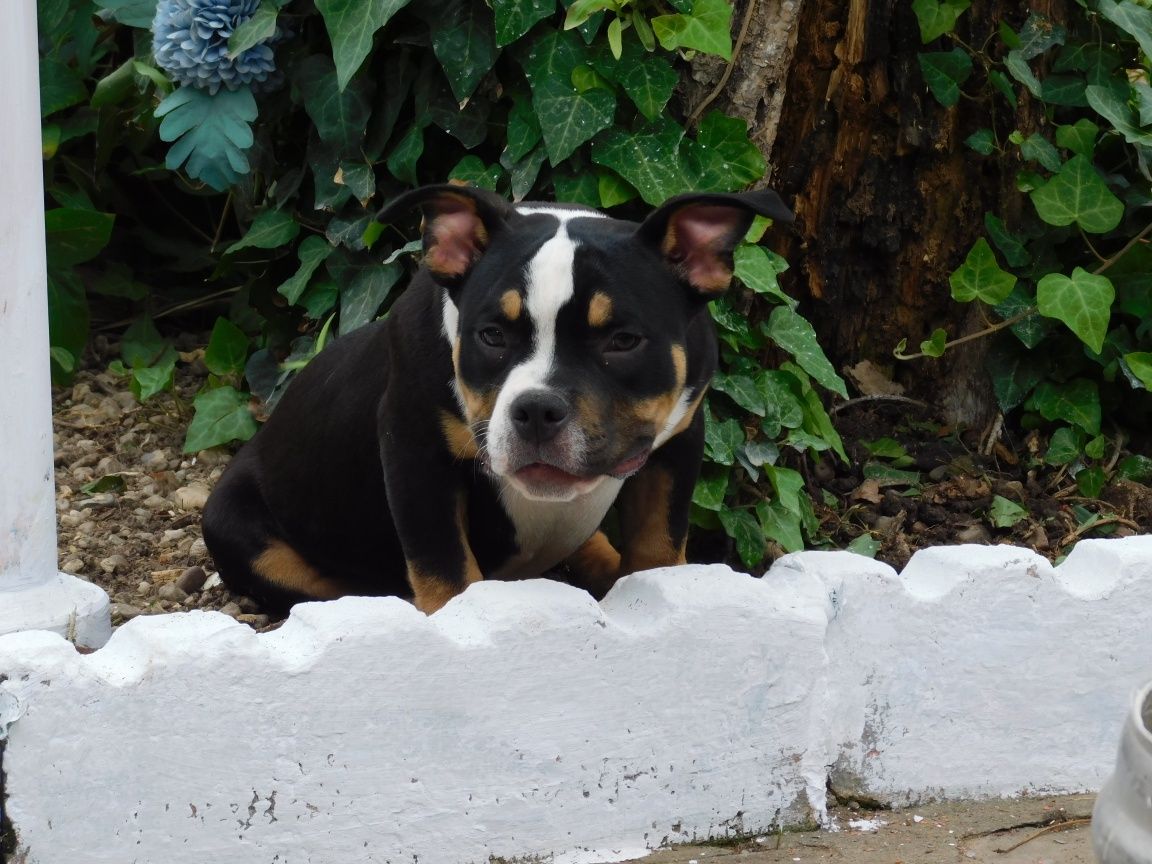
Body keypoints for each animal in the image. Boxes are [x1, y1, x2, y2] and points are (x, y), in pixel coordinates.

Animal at [200, 183, 792, 617]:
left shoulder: (680, 439)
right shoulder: (413, 452)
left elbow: (657, 544)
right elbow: (446, 569)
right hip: (233, 526)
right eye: (491, 336)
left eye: (623, 341)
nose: (536, 410)